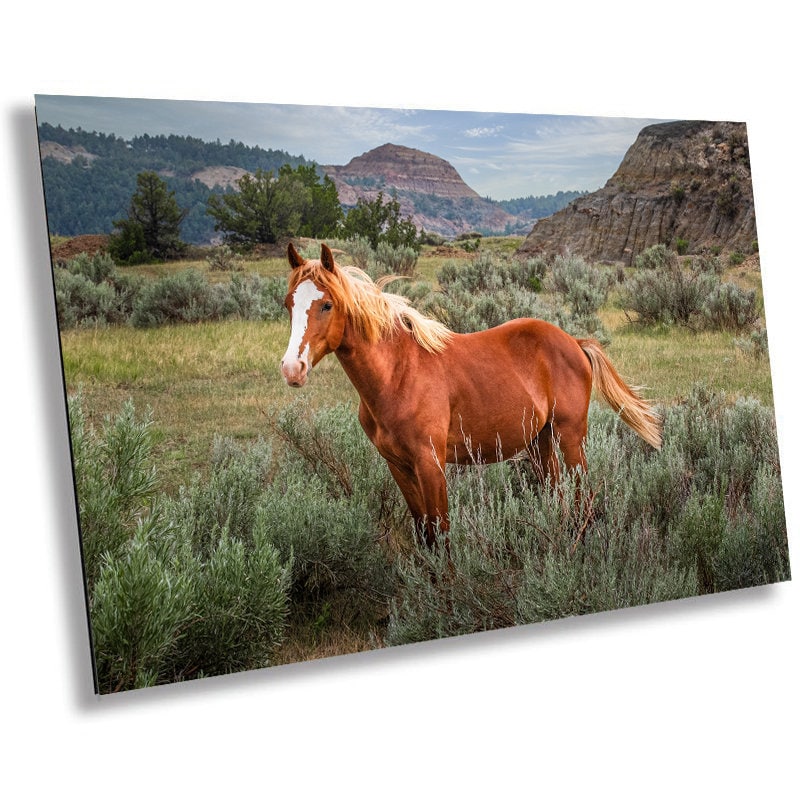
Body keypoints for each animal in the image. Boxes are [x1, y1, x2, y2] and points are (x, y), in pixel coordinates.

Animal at [278, 241, 660, 548]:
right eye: (288, 304)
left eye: (327, 304)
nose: (292, 369)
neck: (398, 374)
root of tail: (574, 342)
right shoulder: (398, 466)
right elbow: (424, 534)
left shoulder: (430, 464)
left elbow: (441, 532)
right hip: (540, 441)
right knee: (560, 498)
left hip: (570, 438)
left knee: (582, 501)